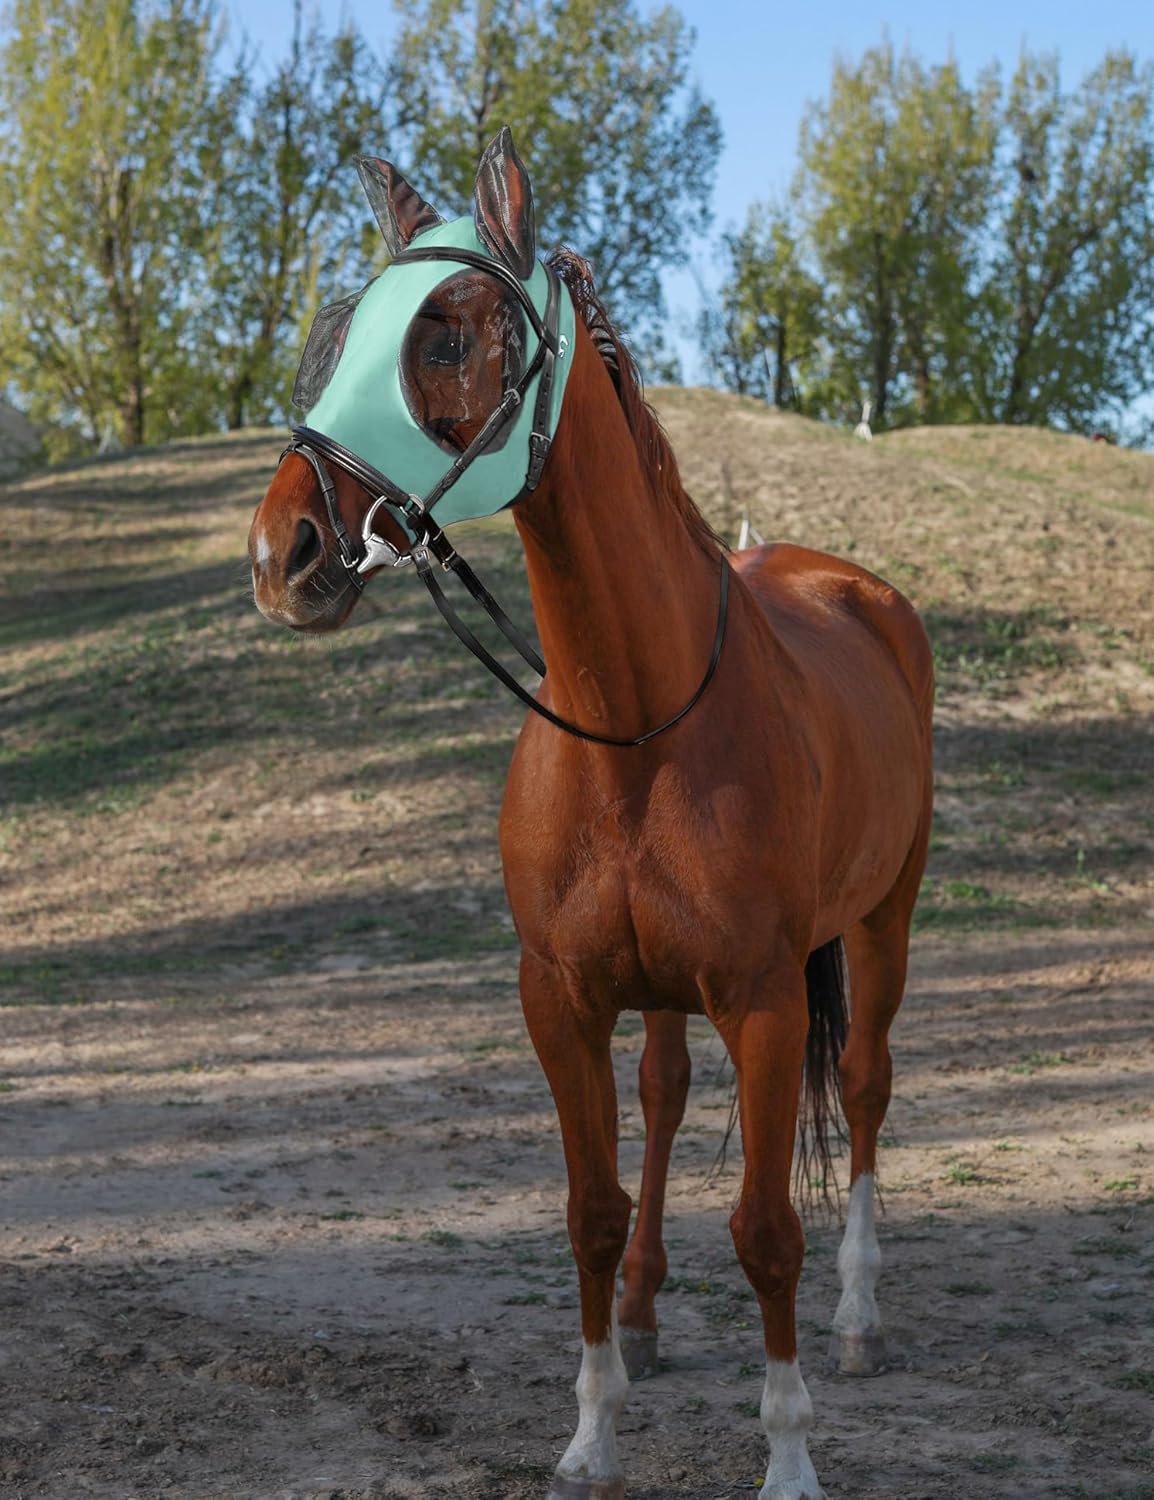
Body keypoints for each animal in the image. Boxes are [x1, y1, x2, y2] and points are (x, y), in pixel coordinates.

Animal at [247, 127, 934, 1500]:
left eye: (445, 333)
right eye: (342, 334)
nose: (281, 551)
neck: (640, 720)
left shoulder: (767, 1000)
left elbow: (766, 1230)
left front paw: (788, 1458)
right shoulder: (558, 998)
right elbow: (589, 1211)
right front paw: (590, 1432)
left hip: (882, 919)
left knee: (866, 1088)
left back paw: (856, 1320)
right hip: (665, 989)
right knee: (663, 1094)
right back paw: (647, 1316)